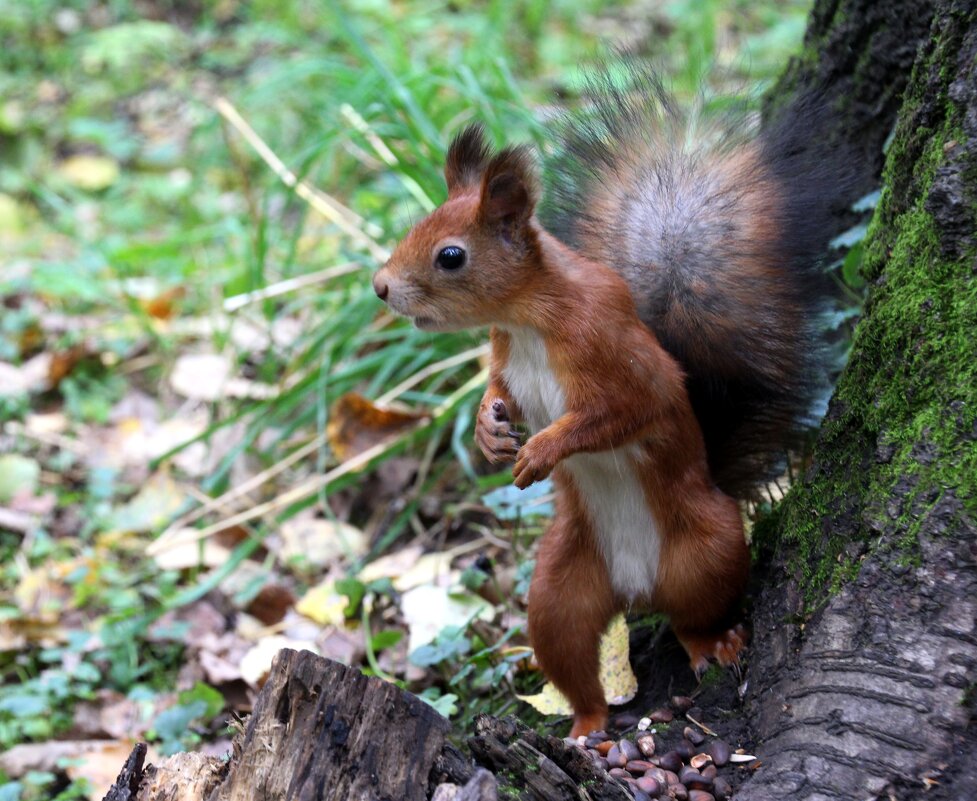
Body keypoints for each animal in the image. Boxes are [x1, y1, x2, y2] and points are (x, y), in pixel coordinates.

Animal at [370, 69, 852, 736]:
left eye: (451, 255)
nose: (380, 286)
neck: (526, 321)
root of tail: (635, 587)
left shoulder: (614, 356)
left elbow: (615, 415)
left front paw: (542, 450)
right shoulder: (506, 360)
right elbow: (501, 393)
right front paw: (489, 432)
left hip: (707, 551)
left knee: (693, 619)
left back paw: (714, 645)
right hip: (560, 589)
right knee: (573, 659)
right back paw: (586, 728)